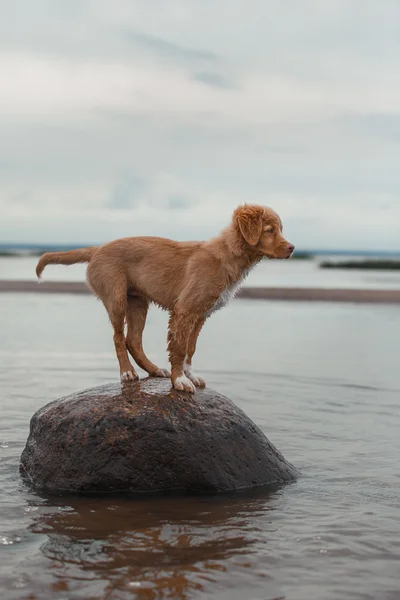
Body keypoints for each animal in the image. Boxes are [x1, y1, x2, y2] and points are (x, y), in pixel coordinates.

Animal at [36, 205, 294, 394]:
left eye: (281, 229)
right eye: (269, 230)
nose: (292, 248)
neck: (228, 256)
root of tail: (97, 249)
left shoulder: (201, 314)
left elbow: (191, 348)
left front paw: (190, 375)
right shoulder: (185, 310)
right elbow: (179, 348)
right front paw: (179, 381)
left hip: (138, 301)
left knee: (133, 340)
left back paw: (153, 369)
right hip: (116, 298)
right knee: (119, 338)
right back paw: (127, 372)